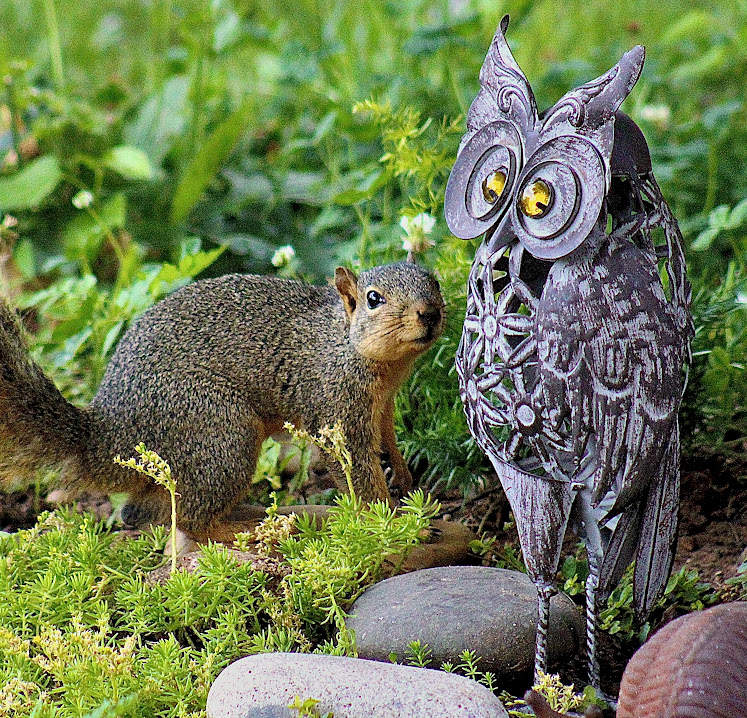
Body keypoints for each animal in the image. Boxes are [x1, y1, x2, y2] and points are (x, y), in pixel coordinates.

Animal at [0, 262, 444, 550]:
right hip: (221, 436)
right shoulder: (334, 407)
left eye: (434, 282)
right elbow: (358, 474)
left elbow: (388, 440)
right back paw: (246, 529)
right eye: (374, 299)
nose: (429, 312)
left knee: (147, 513)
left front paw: (403, 475)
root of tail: (110, 438)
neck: (345, 343)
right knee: (191, 523)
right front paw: (399, 525)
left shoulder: (382, 405)